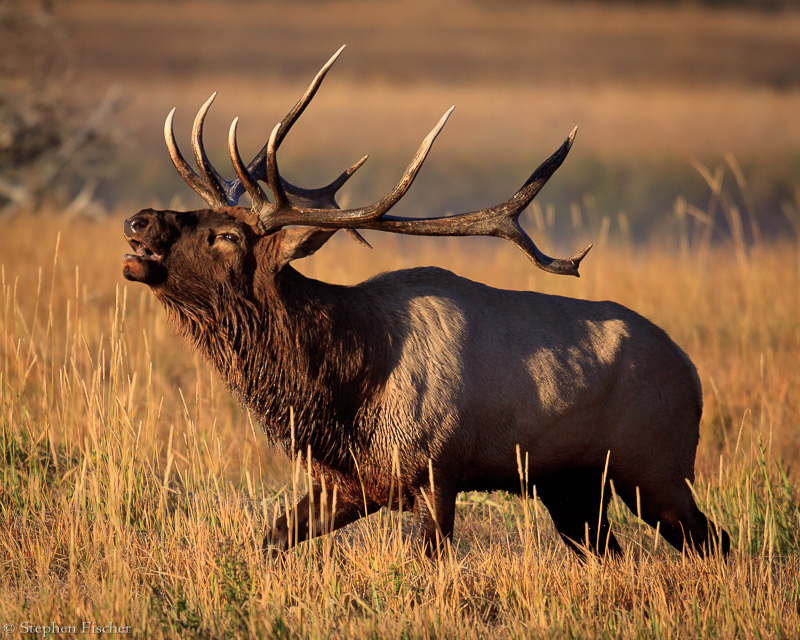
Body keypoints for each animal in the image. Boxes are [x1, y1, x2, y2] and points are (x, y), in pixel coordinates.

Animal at [122, 47, 728, 560]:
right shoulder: (351, 481)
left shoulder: (438, 470)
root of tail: (693, 371)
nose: (140, 219)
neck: (346, 384)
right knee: (614, 551)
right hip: (571, 487)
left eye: (228, 236)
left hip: (656, 467)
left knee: (713, 539)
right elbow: (269, 541)